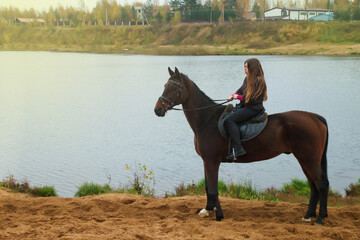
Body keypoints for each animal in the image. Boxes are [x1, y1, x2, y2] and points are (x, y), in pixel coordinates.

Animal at [153, 67, 328, 225]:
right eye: (165, 85)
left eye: (174, 87)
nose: (157, 109)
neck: (207, 120)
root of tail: (314, 117)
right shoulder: (206, 161)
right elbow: (208, 187)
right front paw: (208, 209)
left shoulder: (212, 161)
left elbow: (213, 189)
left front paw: (219, 215)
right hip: (305, 160)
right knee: (313, 186)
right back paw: (309, 215)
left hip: (309, 160)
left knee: (321, 184)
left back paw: (320, 218)